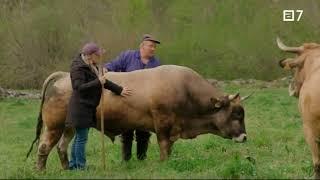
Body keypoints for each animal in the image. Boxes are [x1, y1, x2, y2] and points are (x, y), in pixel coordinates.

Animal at [26, 64, 248, 170]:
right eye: (236, 114)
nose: (245, 137)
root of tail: (63, 75)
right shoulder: (163, 122)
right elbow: (164, 144)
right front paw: (164, 163)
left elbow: (169, 145)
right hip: (54, 126)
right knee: (44, 147)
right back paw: (41, 170)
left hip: (70, 127)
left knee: (62, 147)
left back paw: (67, 169)